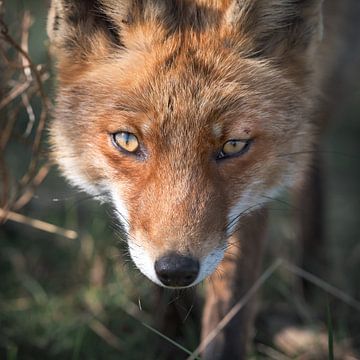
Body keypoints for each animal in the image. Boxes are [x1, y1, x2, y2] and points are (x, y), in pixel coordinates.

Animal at [47, 1, 360, 358]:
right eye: (127, 141)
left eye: (234, 145)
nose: (176, 270)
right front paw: (169, 341)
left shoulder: (252, 198)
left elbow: (232, 300)